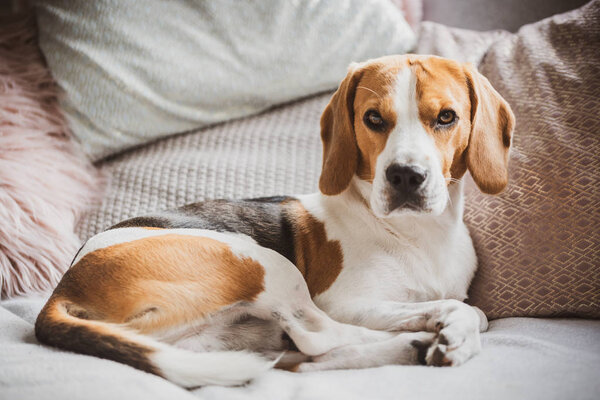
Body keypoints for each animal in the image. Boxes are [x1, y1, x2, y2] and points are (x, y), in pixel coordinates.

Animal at [35, 54, 512, 388]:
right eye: (373, 118)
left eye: (446, 117)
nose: (406, 176)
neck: (418, 234)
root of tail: (62, 290)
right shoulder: (345, 301)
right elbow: (463, 309)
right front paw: (453, 333)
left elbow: (473, 310)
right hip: (261, 261)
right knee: (317, 337)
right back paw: (418, 342)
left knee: (302, 358)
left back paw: (411, 347)